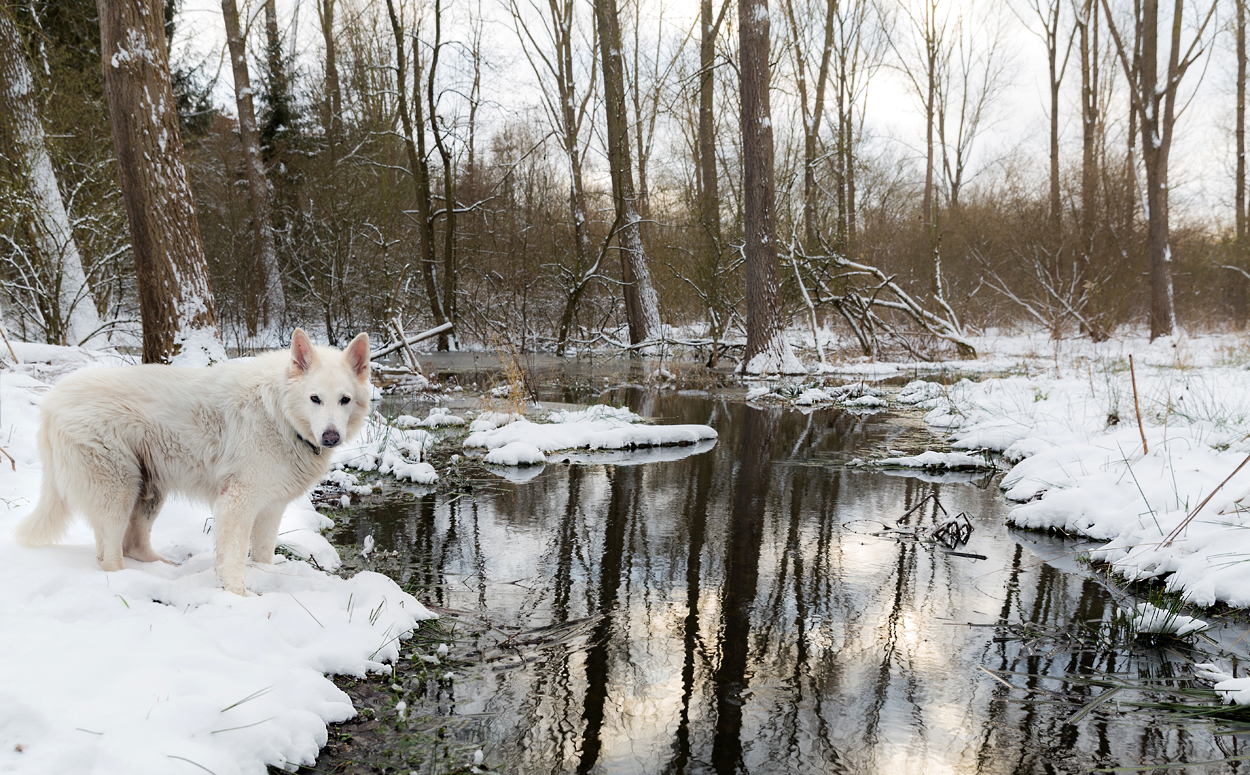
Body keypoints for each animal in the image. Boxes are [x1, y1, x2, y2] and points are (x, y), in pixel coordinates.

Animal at [13, 327, 370, 592]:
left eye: (345, 400)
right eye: (314, 398)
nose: (330, 437)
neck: (281, 414)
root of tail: (51, 403)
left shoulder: (271, 507)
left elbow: (263, 555)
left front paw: (264, 579)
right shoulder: (238, 502)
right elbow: (234, 558)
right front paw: (238, 597)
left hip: (149, 492)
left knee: (133, 545)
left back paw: (161, 568)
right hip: (117, 491)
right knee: (109, 556)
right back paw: (126, 581)